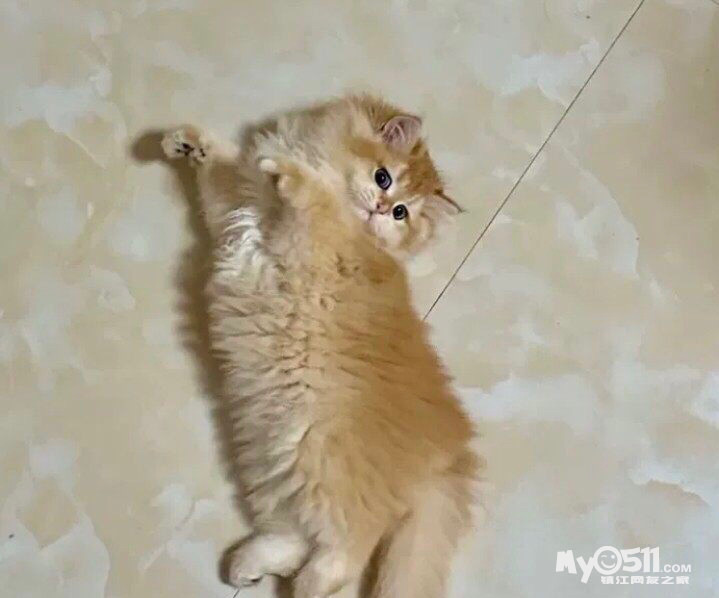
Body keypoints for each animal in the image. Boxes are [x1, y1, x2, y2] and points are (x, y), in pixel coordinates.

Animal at [161, 94, 479, 598]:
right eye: (383, 178)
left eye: (400, 214)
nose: (380, 207)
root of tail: (449, 453)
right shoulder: (234, 203)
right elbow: (222, 168)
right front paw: (187, 142)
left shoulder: (308, 240)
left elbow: (310, 200)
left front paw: (284, 172)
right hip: (280, 464)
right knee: (294, 540)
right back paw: (247, 567)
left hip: (327, 468)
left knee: (344, 555)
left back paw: (304, 587)